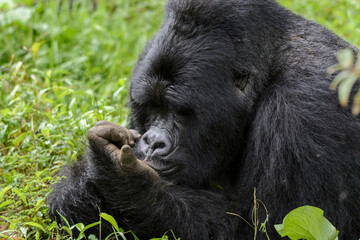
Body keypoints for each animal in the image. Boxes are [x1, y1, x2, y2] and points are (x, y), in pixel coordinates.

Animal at [47, 0, 360, 238]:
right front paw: (88, 176)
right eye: (153, 108)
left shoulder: (304, 111)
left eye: (178, 112)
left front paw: (126, 184)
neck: (269, 64)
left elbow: (272, 229)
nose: (152, 142)